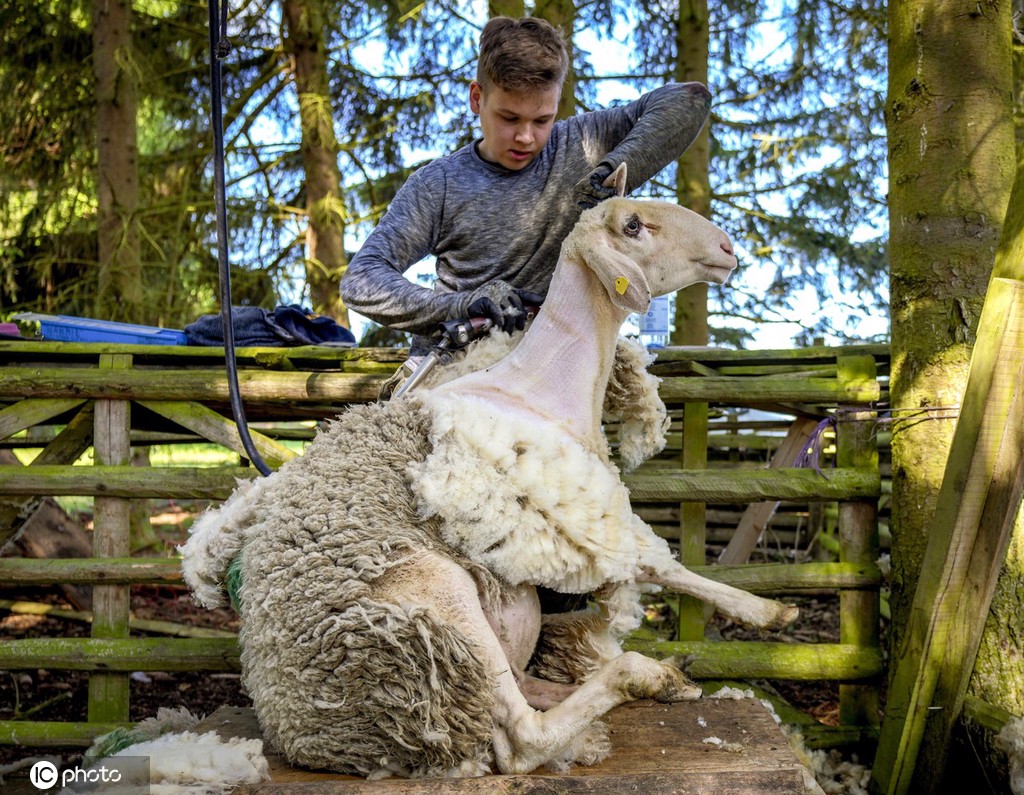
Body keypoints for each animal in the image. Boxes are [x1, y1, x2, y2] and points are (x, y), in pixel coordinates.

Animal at [180, 164, 794, 778]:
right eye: (633, 225)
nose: (726, 249)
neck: (544, 384)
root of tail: (317, 738)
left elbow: (667, 568)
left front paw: (763, 611)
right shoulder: (570, 514)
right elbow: (660, 564)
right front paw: (766, 612)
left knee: (525, 694)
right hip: (437, 602)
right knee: (523, 739)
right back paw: (644, 677)